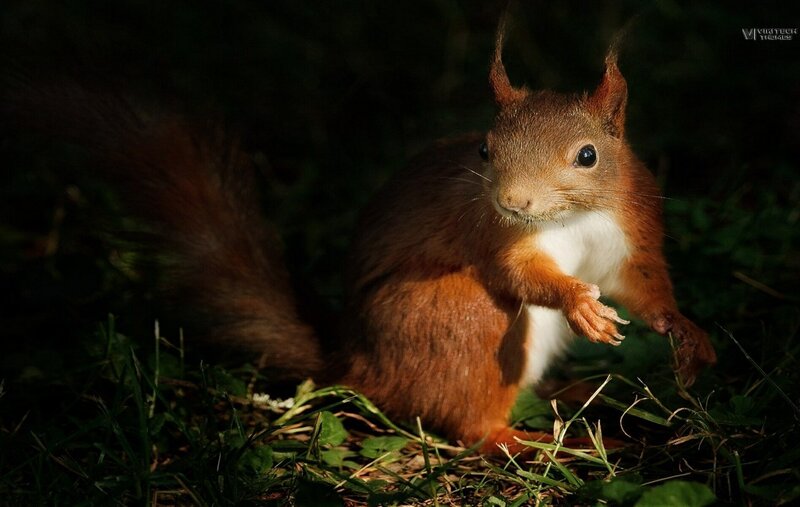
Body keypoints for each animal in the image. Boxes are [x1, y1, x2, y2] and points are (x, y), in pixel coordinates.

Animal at [4, 19, 716, 454]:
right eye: (486, 150)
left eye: (588, 156)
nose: (512, 201)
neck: (570, 222)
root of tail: (358, 366)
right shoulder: (491, 234)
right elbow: (518, 274)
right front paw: (576, 303)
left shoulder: (629, 227)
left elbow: (642, 286)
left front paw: (687, 335)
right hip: (457, 317)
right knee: (472, 420)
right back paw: (528, 442)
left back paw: (569, 398)